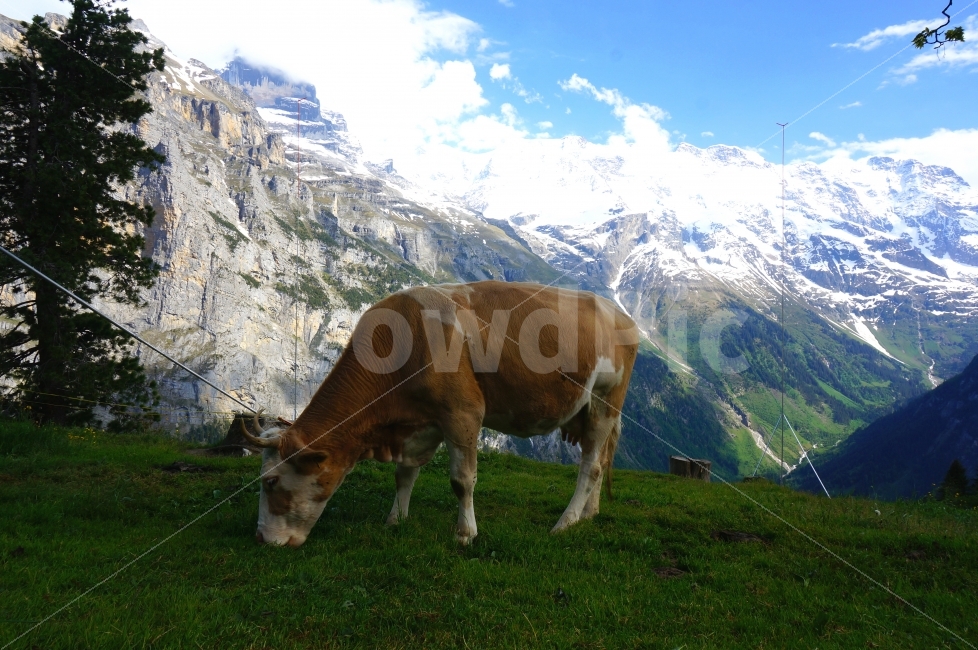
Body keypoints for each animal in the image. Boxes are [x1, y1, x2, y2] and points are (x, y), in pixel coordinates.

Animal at [241, 280, 638, 547]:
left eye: (270, 482)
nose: (259, 537)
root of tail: (619, 313)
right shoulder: (420, 422)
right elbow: (404, 475)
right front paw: (395, 520)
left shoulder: (463, 412)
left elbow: (462, 480)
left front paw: (465, 534)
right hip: (588, 410)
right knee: (600, 458)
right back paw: (589, 513)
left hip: (605, 401)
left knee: (592, 466)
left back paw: (565, 522)